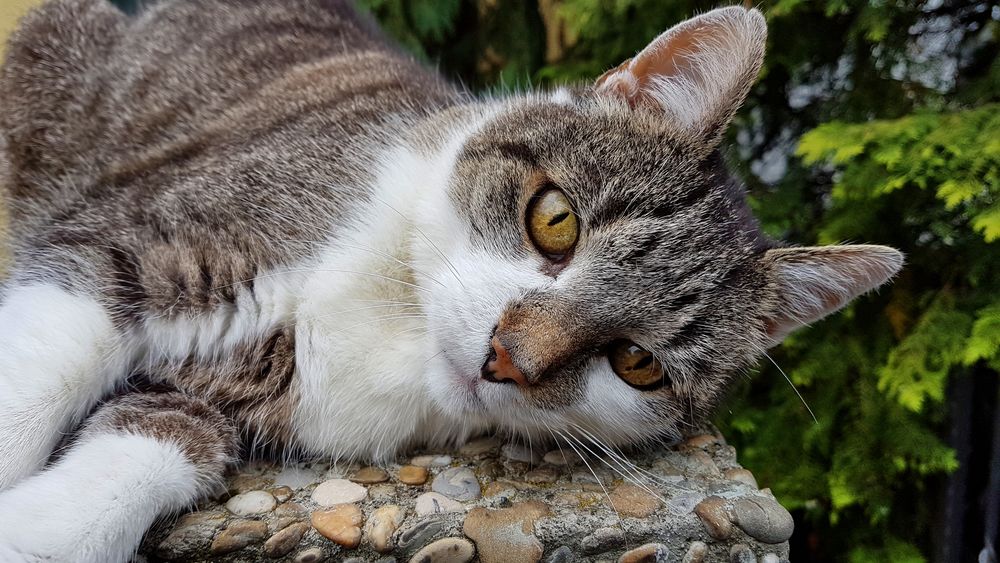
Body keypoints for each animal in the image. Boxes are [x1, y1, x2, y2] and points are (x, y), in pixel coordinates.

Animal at [0, 0, 908, 560]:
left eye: (638, 362)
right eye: (556, 220)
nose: (510, 356)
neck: (395, 317)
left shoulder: (229, 394)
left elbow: (150, 445)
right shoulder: (132, 241)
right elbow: (33, 378)